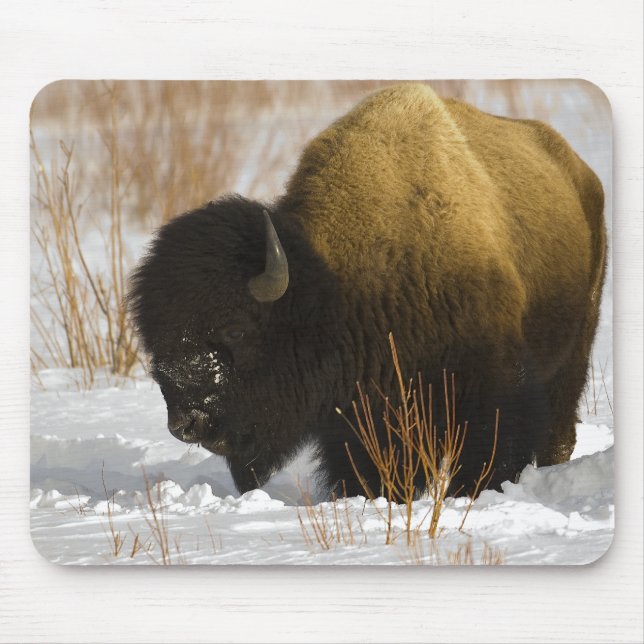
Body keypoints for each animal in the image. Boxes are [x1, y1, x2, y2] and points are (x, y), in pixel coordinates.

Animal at [128, 83, 606, 498]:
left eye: (235, 329)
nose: (185, 424)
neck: (340, 282)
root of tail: (581, 172)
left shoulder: (493, 383)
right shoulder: (360, 412)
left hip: (574, 351)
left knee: (558, 429)